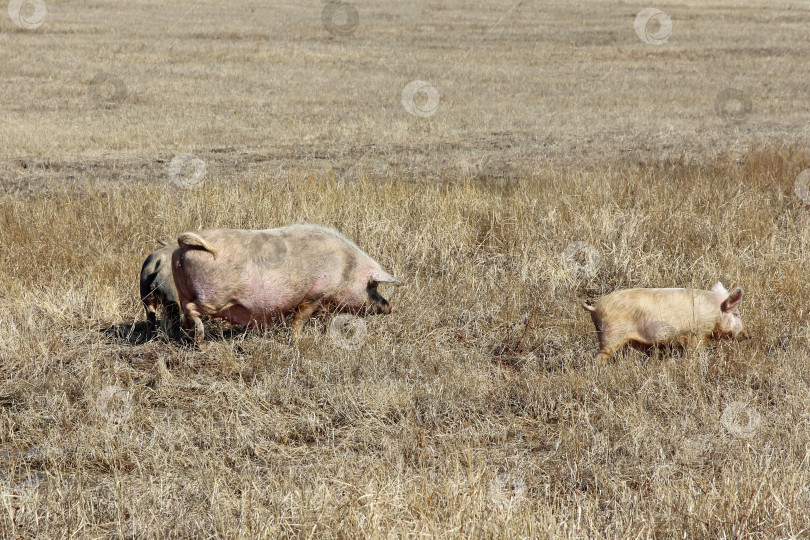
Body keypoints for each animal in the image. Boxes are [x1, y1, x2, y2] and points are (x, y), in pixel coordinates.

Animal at [172, 224, 400, 342]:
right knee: (192, 308)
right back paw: (200, 339)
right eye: (373, 286)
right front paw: (298, 340)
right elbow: (299, 319)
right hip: (213, 297)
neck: (346, 269)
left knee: (184, 310)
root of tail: (184, 248)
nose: (391, 307)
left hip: (183, 290)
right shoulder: (314, 295)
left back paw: (191, 337)